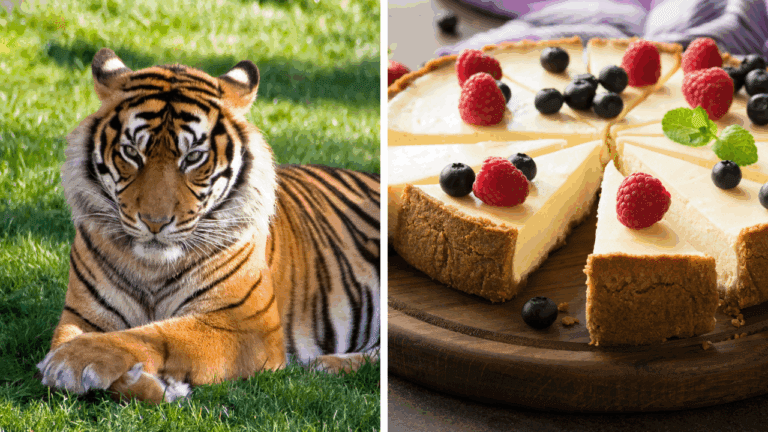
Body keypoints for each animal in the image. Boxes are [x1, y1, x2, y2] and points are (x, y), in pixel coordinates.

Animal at [36, 48, 380, 403]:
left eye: (193, 157)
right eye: (131, 153)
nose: (155, 223)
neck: (152, 268)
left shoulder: (245, 325)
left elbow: (158, 335)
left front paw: (73, 361)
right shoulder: (81, 314)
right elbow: (68, 339)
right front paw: (146, 383)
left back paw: (328, 364)